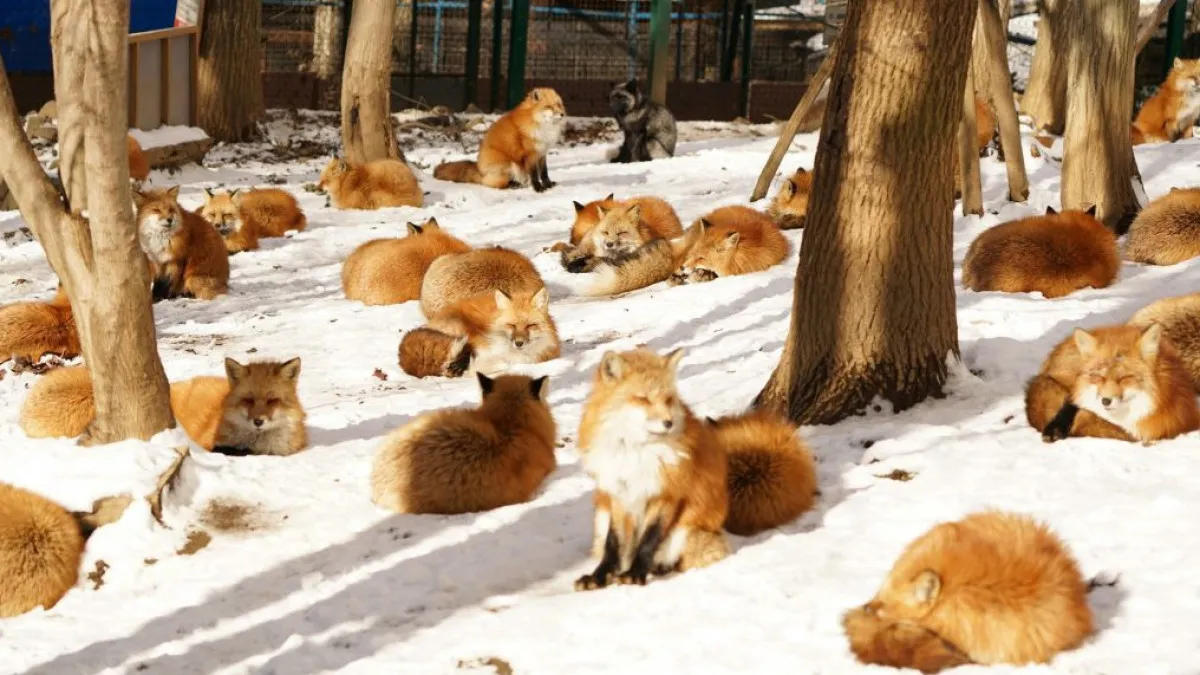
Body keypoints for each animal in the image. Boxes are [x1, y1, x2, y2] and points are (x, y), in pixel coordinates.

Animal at [433, 88, 567, 192]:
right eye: (548, 107)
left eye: (559, 105)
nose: (562, 114)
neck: (540, 125)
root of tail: (479, 170)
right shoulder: (531, 154)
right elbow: (535, 174)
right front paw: (538, 188)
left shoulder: (542, 152)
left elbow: (544, 173)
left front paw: (548, 185)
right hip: (509, 166)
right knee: (495, 184)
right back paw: (514, 184)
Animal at [575, 347, 729, 590]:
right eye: (643, 399)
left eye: (668, 399)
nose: (669, 423)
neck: (635, 450)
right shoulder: (619, 493)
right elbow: (613, 544)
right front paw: (600, 576)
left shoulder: (665, 494)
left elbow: (649, 540)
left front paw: (635, 574)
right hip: (600, 515)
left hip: (684, 532)